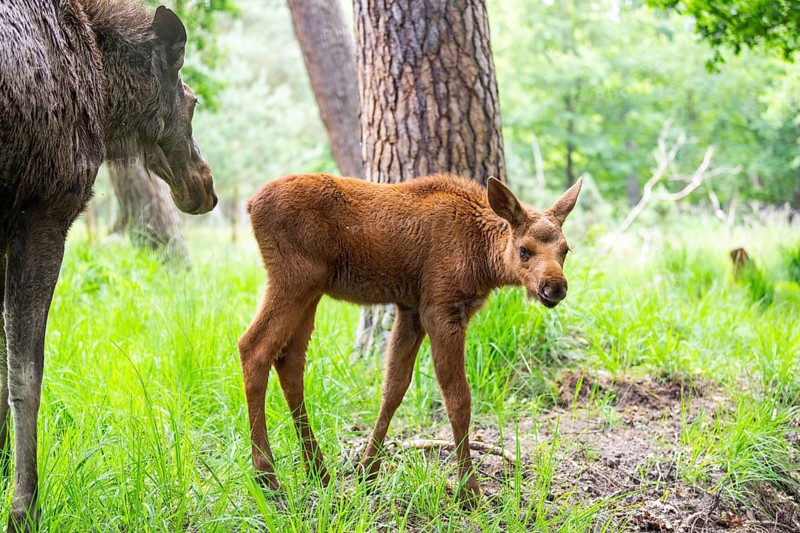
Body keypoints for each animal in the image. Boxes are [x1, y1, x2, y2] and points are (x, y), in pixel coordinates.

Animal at [239, 172, 582, 506]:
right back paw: (267, 474)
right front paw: (470, 491)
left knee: (289, 361)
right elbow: (458, 398)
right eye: (524, 250)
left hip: (311, 291)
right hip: (293, 279)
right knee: (253, 347)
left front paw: (368, 471)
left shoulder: (410, 310)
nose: (555, 287)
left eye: (565, 250)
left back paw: (317, 470)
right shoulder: (441, 308)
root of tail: (250, 204)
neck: (484, 258)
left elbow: (394, 387)